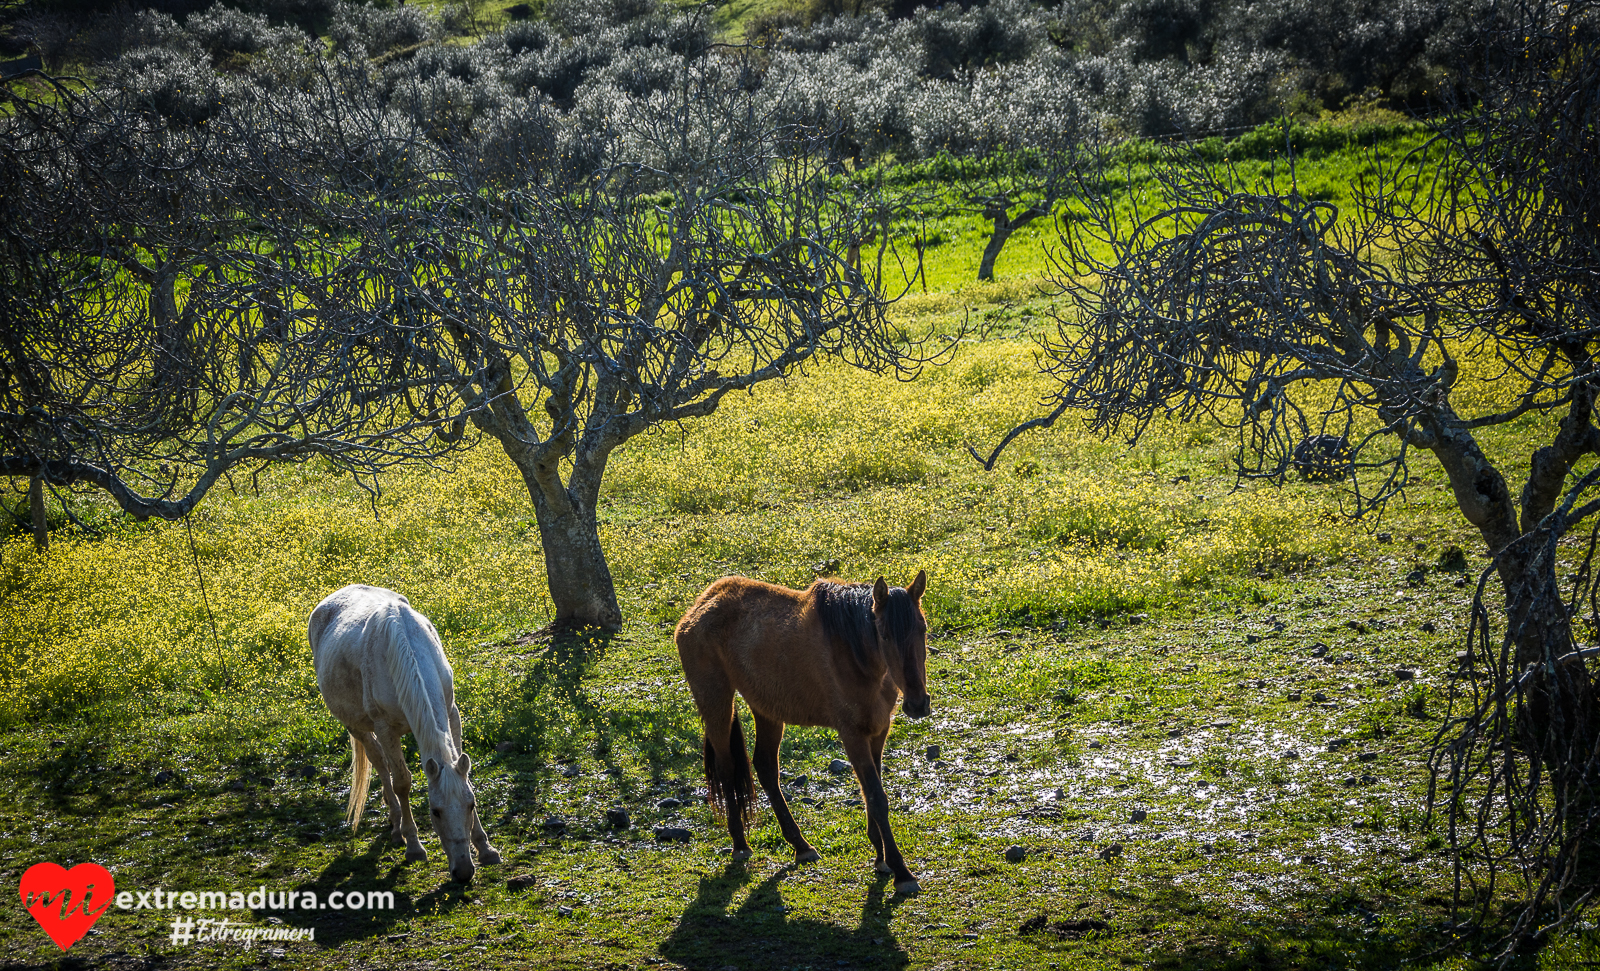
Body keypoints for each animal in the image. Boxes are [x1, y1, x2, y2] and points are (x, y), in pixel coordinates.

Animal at [302, 585, 496, 883]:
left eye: (471, 805)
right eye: (435, 812)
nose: (463, 871)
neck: (406, 649)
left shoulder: (452, 711)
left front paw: (486, 848)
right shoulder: (385, 728)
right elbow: (402, 782)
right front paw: (414, 847)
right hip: (357, 727)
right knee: (380, 764)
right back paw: (396, 827)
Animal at [672, 569, 928, 895]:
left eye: (922, 628)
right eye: (884, 635)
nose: (918, 703)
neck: (858, 656)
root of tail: (701, 605)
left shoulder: (878, 730)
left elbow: (873, 793)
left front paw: (880, 857)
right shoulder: (852, 735)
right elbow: (876, 797)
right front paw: (901, 871)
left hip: (766, 710)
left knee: (766, 768)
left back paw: (801, 845)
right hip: (716, 702)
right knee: (727, 769)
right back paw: (740, 844)